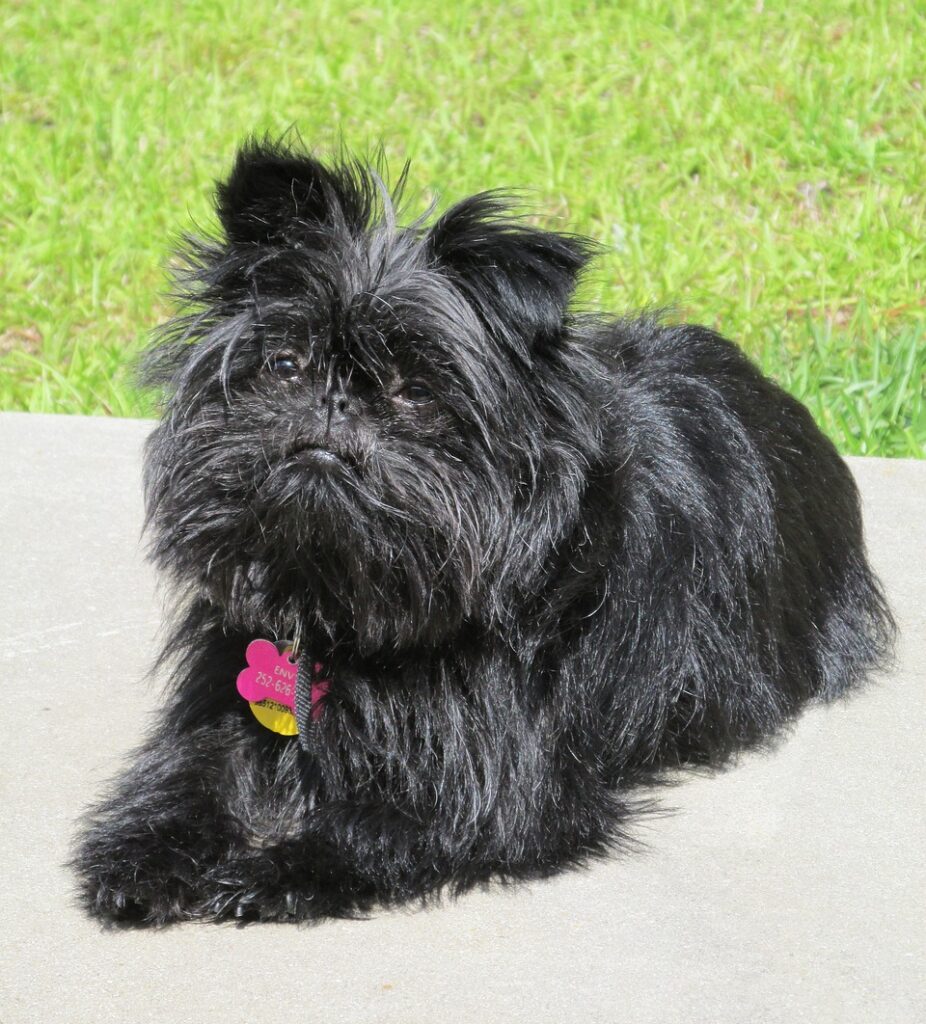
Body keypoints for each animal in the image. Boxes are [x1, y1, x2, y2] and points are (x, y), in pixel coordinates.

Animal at [74, 138, 897, 929]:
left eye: (414, 390)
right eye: (284, 364)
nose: (336, 402)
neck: (351, 600)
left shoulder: (500, 787)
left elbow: (380, 825)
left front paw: (273, 871)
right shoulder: (224, 699)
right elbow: (187, 777)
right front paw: (142, 853)